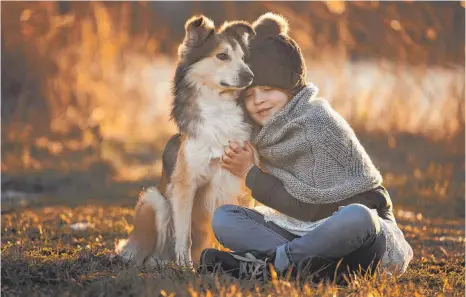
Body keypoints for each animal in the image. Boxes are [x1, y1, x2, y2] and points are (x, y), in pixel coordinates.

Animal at [115, 15, 255, 266]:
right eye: (222, 56)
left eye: (243, 57)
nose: (250, 76)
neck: (218, 106)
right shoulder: (185, 185)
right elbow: (184, 234)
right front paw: (185, 266)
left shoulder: (233, 180)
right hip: (153, 200)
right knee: (146, 252)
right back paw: (158, 262)